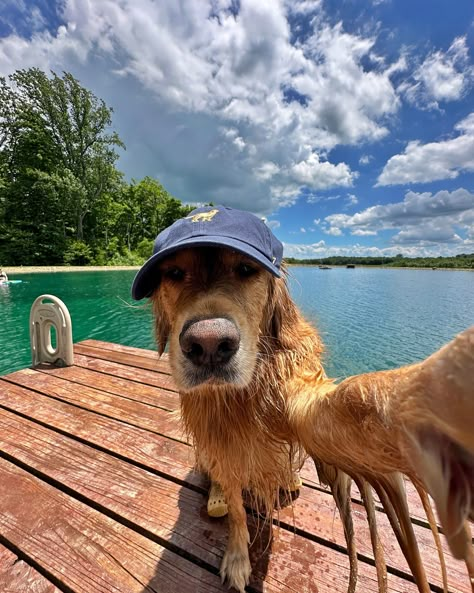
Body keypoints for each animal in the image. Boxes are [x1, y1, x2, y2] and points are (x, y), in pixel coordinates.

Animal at [133, 205, 474, 592]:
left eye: (246, 270)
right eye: (174, 273)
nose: (208, 346)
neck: (240, 396)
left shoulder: (300, 399)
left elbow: (354, 401)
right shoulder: (221, 443)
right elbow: (236, 509)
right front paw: (237, 557)